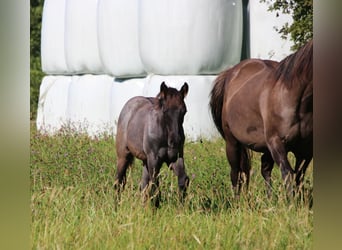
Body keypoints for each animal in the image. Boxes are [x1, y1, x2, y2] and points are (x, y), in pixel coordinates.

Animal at [208, 40, 312, 197]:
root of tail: (230, 73)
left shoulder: (305, 150)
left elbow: (298, 177)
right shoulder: (277, 143)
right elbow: (288, 174)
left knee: (264, 169)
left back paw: (269, 198)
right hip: (232, 142)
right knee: (236, 172)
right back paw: (237, 200)